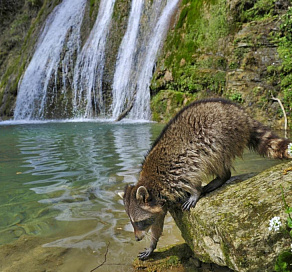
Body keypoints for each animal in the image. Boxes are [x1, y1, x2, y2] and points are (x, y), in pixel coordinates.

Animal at [118, 98, 290, 260]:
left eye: (139, 222)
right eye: (132, 222)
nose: (137, 238)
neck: (152, 185)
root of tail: (240, 113)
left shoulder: (179, 169)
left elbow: (192, 176)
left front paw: (195, 192)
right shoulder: (161, 203)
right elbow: (157, 224)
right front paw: (152, 244)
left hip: (222, 134)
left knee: (214, 157)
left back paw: (221, 177)